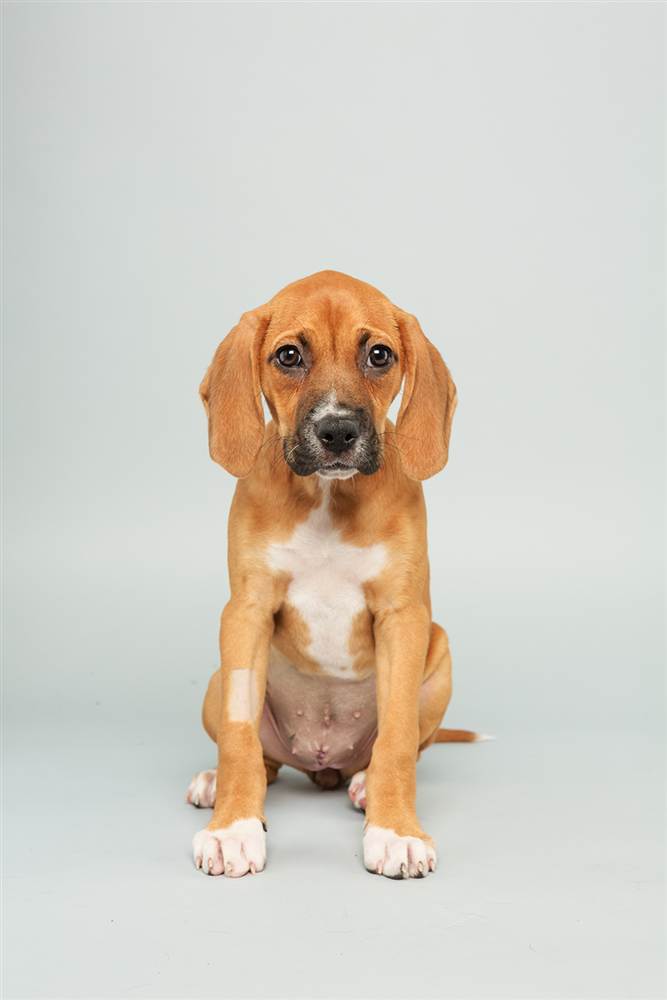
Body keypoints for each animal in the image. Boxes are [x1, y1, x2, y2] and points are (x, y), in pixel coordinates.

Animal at [187, 270, 480, 879]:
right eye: (289, 355)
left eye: (379, 355)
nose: (338, 432)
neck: (326, 494)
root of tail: (322, 762)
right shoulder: (245, 613)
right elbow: (239, 737)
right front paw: (233, 828)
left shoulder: (403, 617)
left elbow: (397, 740)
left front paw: (396, 832)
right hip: (217, 680)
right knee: (265, 759)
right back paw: (214, 782)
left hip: (439, 653)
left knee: (403, 745)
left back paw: (365, 785)